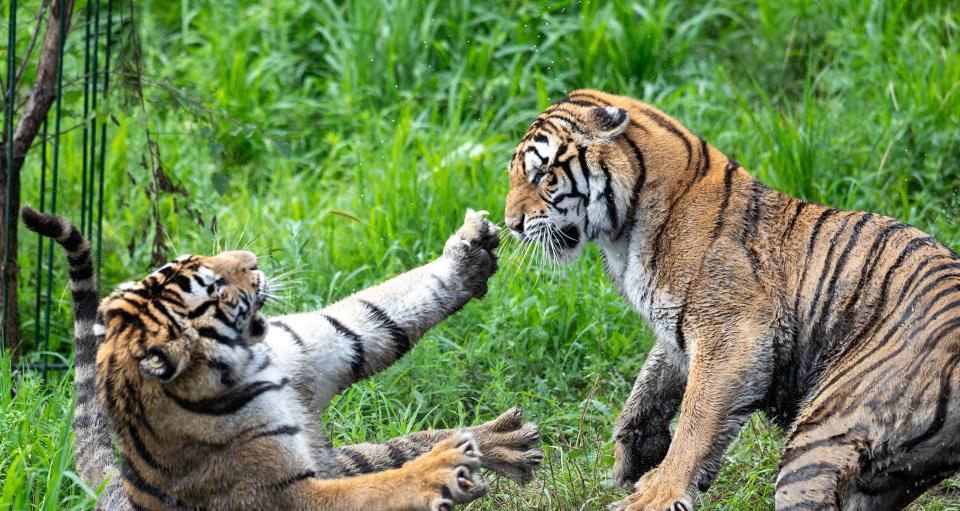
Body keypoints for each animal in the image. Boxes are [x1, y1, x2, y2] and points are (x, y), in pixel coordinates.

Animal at [22, 205, 544, 511]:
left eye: (192, 260)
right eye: (213, 286)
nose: (252, 258)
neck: (256, 365)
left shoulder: (309, 348)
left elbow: (373, 314)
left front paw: (469, 254)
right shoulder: (285, 495)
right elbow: (381, 488)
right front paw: (437, 472)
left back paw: (505, 441)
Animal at [502, 90, 960, 510]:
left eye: (543, 175)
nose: (511, 224)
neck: (623, 231)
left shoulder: (734, 332)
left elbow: (697, 418)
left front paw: (655, 493)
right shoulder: (677, 329)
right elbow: (646, 389)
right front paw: (634, 455)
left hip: (822, 435)